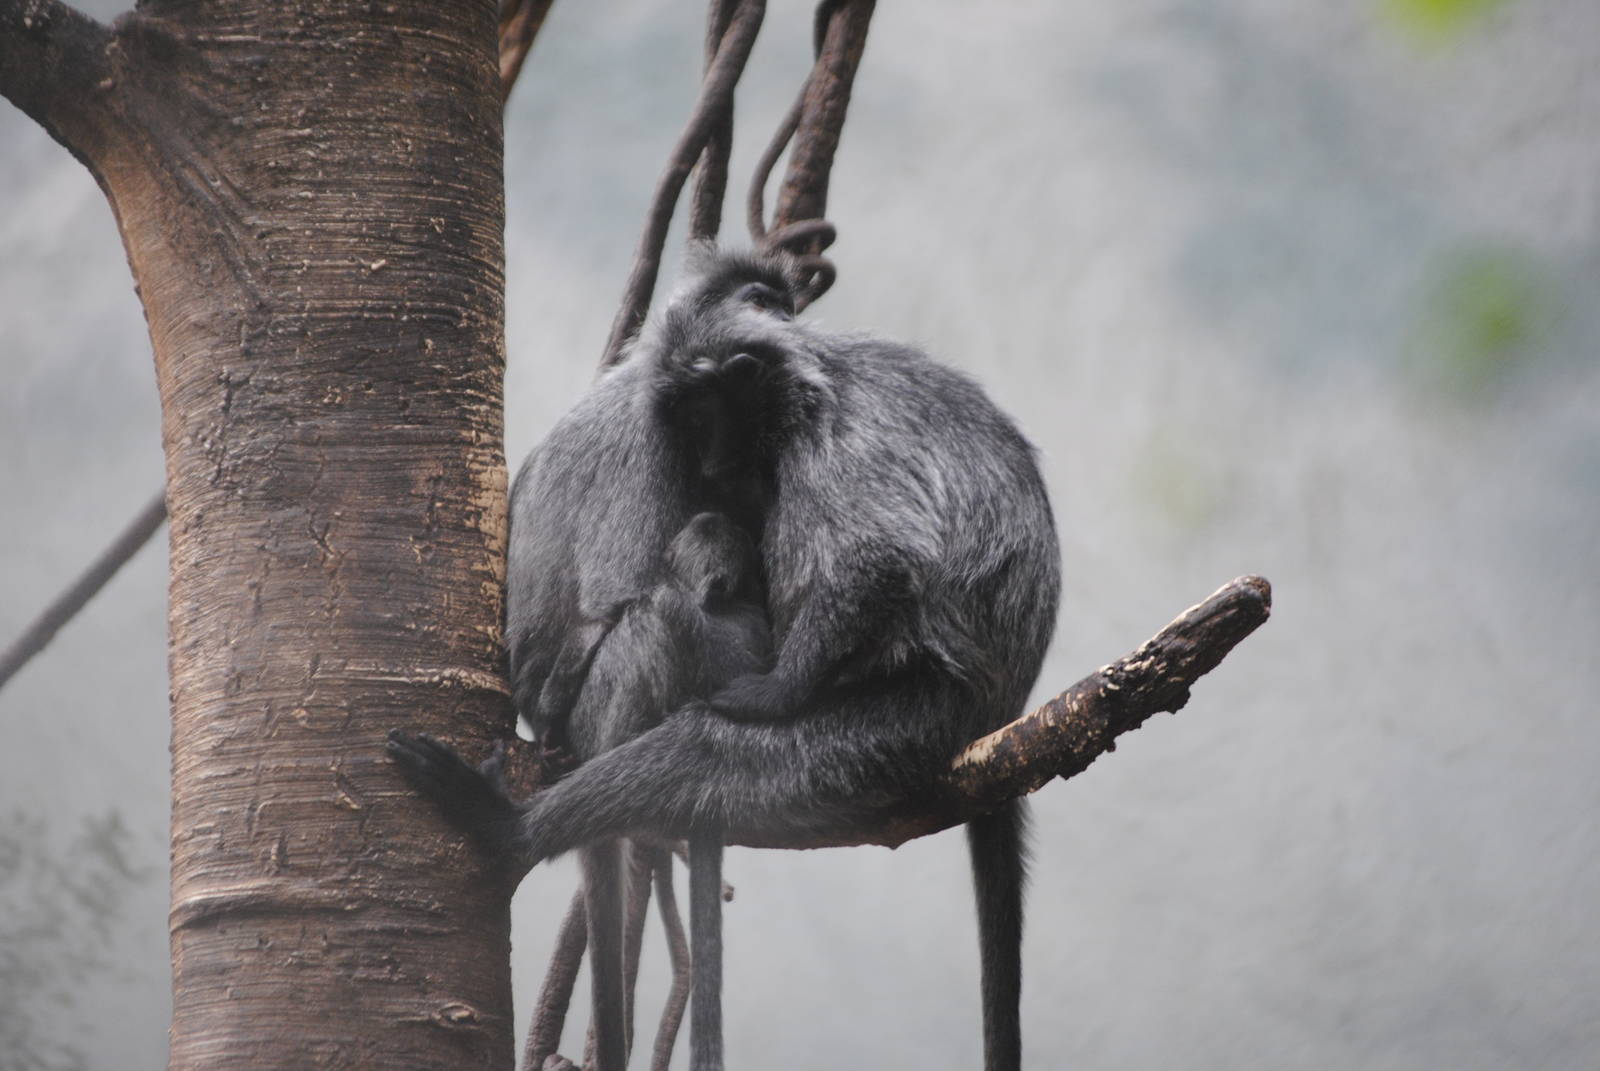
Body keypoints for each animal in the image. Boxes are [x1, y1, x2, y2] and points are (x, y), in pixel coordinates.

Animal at [390, 246, 1060, 1071]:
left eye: (707, 415)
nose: (713, 460)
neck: (810, 374)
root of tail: (1004, 700)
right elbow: (870, 560)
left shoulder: (815, 429)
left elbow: (877, 559)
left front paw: (768, 692)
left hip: (914, 714)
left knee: (700, 737)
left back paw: (511, 826)